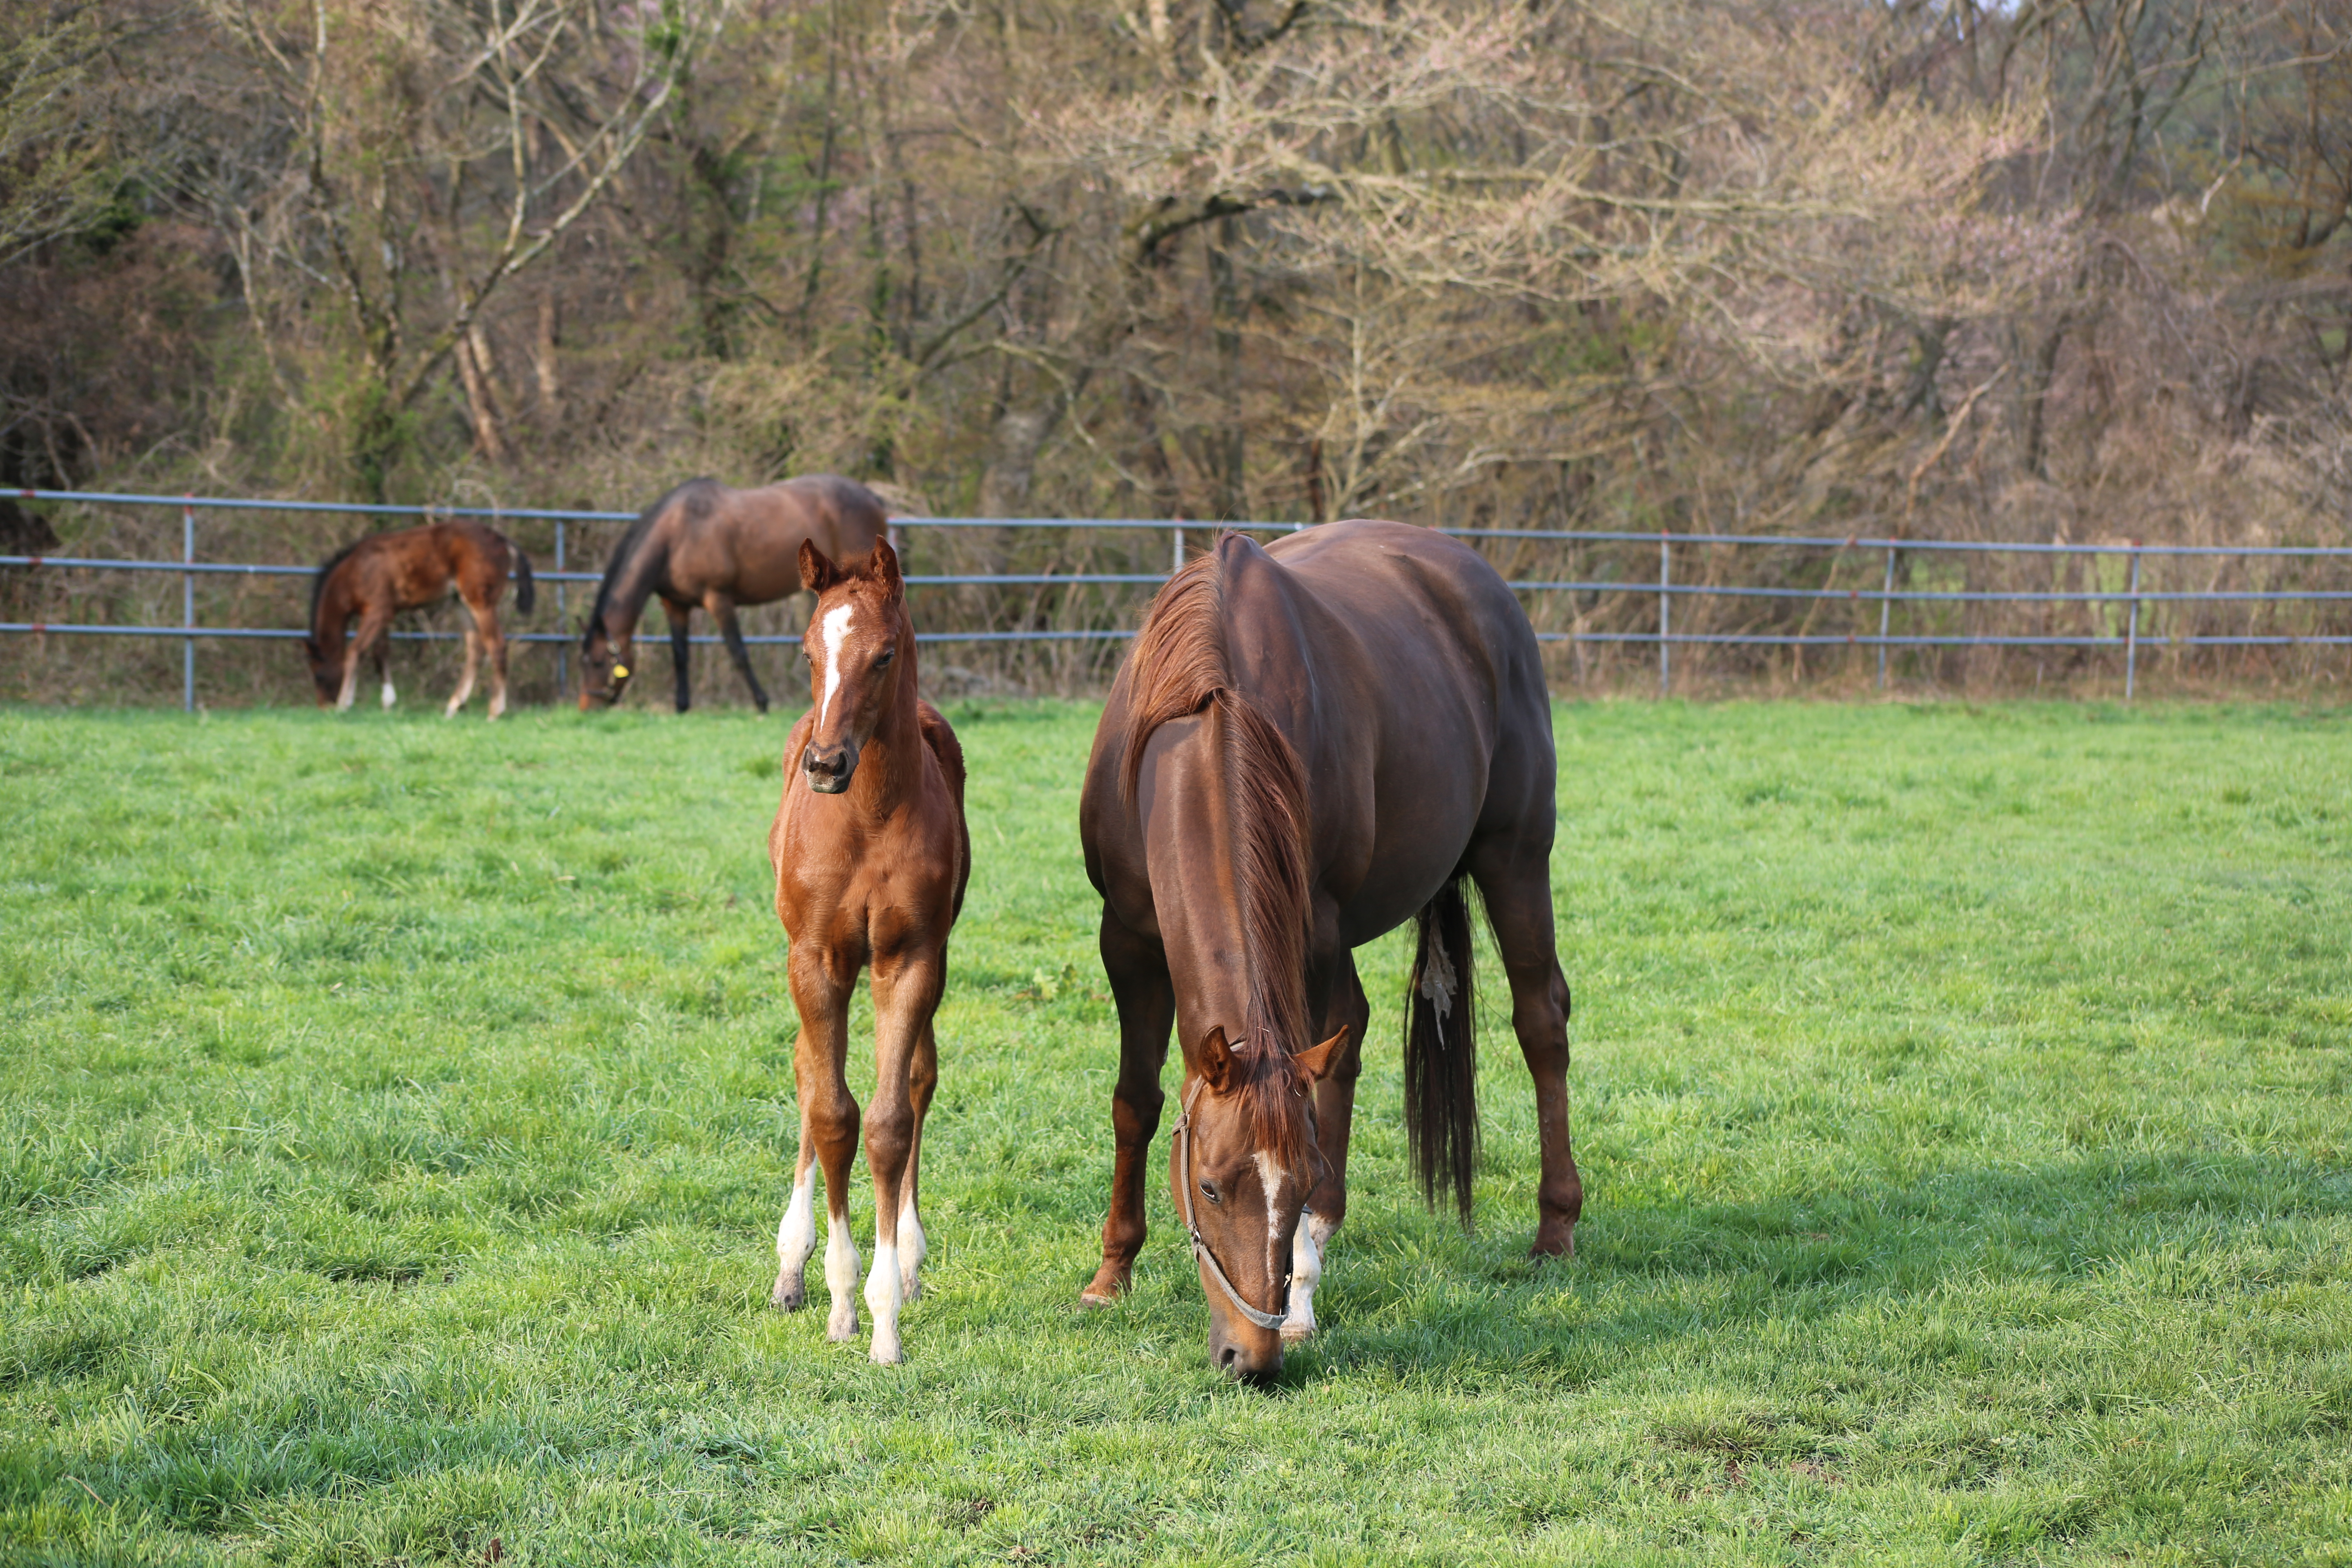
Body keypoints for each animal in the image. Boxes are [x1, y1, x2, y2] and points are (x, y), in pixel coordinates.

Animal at [305, 526, 536, 724]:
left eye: (319, 675)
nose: (323, 707)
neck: (357, 570)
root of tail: (502, 539)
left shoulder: (378, 612)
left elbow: (356, 651)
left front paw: (344, 703)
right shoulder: (382, 614)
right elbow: (380, 653)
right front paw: (388, 703)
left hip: (480, 602)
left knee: (496, 645)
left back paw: (494, 711)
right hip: (460, 602)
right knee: (476, 649)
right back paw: (453, 706)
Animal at [581, 474, 889, 715]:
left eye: (598, 662)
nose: (586, 708)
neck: (677, 535)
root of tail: (872, 497)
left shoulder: (719, 599)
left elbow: (738, 652)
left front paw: (762, 703)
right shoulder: (675, 604)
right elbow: (680, 654)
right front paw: (682, 706)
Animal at [1082, 522, 1580, 1382]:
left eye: (1294, 1181)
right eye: (1209, 1189)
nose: (1250, 1358)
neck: (1210, 710)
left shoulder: (1309, 933)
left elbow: (1316, 1108)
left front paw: (1305, 1289)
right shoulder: (1130, 939)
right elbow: (1136, 1102)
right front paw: (1112, 1274)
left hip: (1514, 858)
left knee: (1539, 1021)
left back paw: (1554, 1228)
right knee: (1352, 1039)